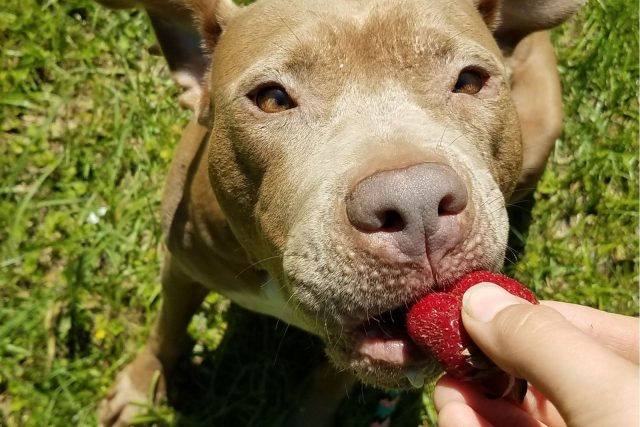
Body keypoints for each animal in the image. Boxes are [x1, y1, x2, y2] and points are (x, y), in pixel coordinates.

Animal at [96, 1, 584, 426]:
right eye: (272, 98)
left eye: (469, 81)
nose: (416, 203)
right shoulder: (182, 266)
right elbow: (167, 328)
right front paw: (140, 390)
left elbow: (328, 383)